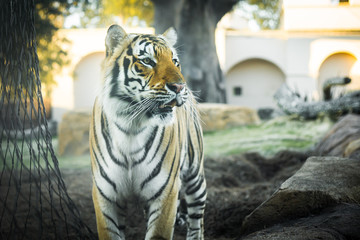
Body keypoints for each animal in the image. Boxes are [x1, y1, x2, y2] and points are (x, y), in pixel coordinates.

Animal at [90, 24, 207, 240]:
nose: (180, 87)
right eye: (147, 61)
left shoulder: (166, 192)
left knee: (197, 222)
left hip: (195, 175)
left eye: (175, 62)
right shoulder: (105, 195)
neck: (131, 126)